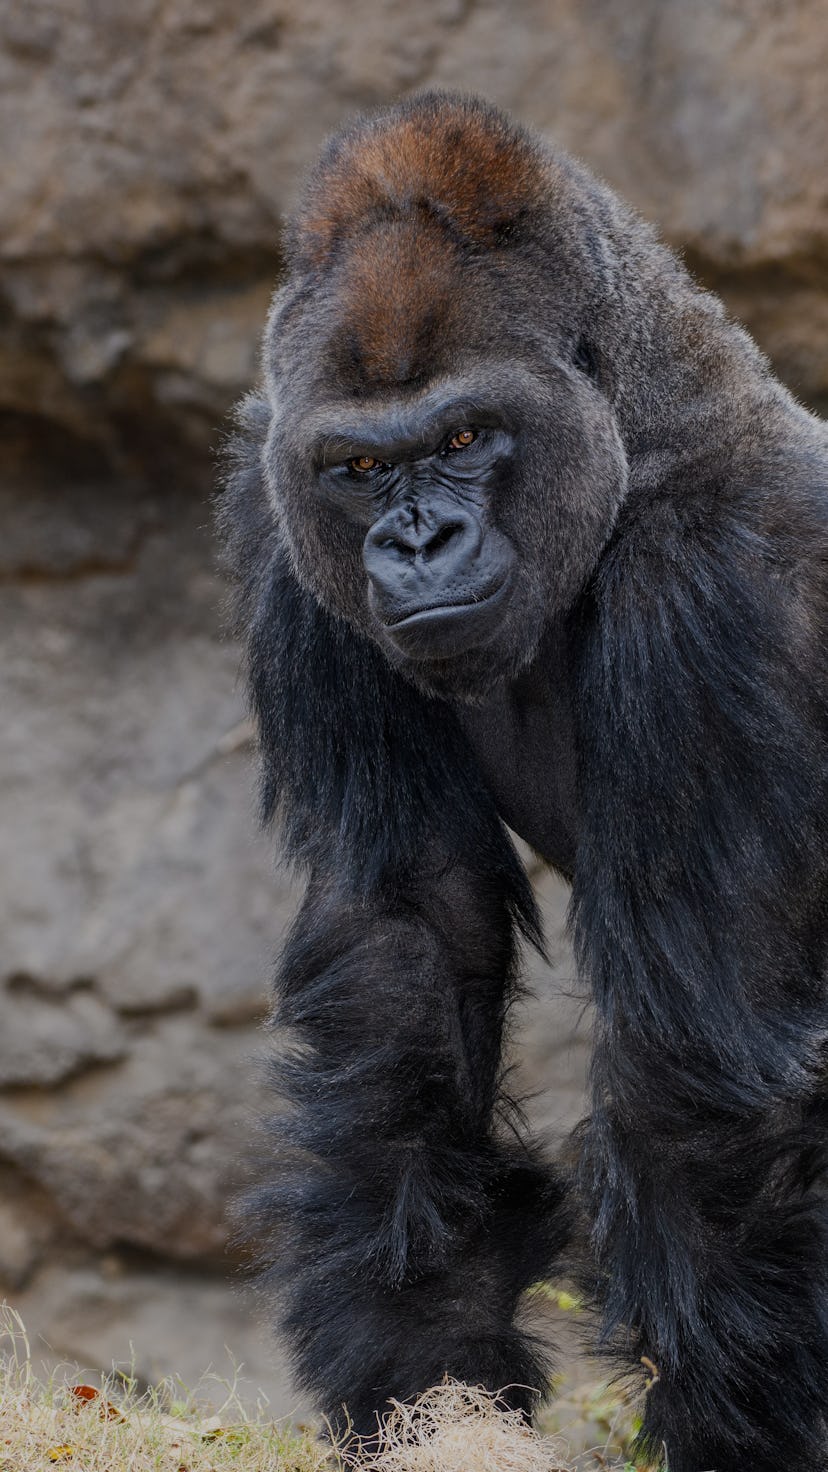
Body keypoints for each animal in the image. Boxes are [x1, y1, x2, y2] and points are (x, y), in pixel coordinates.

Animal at [218, 92, 828, 1472]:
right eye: (359, 470)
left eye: (462, 437)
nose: (418, 541)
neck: (645, 424)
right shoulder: (294, 535)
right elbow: (408, 942)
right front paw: (424, 1378)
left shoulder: (716, 581)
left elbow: (697, 1062)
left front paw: (741, 1430)